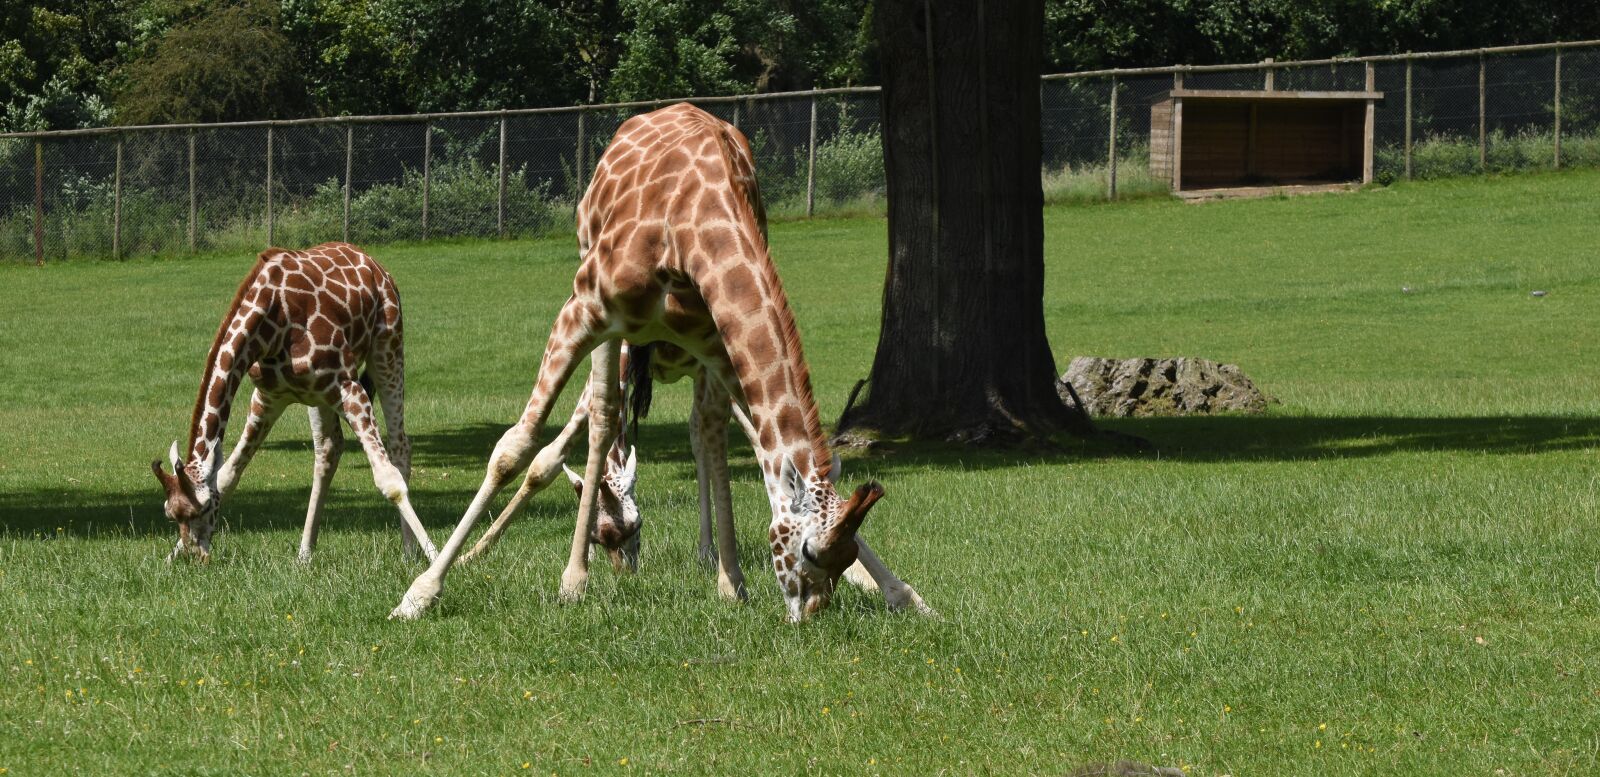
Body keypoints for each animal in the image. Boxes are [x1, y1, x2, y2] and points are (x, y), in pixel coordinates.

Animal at [150, 242, 438, 563]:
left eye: (202, 508)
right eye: (170, 514)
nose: (195, 557)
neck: (270, 323)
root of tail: (375, 265)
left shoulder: (347, 387)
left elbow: (389, 481)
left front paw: (437, 558)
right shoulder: (268, 398)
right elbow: (228, 475)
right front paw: (168, 559)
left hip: (388, 347)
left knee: (400, 445)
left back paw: (409, 551)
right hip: (319, 396)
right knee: (328, 449)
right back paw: (304, 555)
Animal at [392, 103, 930, 621]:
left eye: (843, 555)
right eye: (810, 553)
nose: (812, 612)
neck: (690, 229)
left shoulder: (715, 340)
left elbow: (744, 440)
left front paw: (899, 593)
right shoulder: (584, 309)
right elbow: (517, 450)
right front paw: (421, 592)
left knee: (703, 429)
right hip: (602, 307)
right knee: (603, 416)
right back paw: (572, 579)